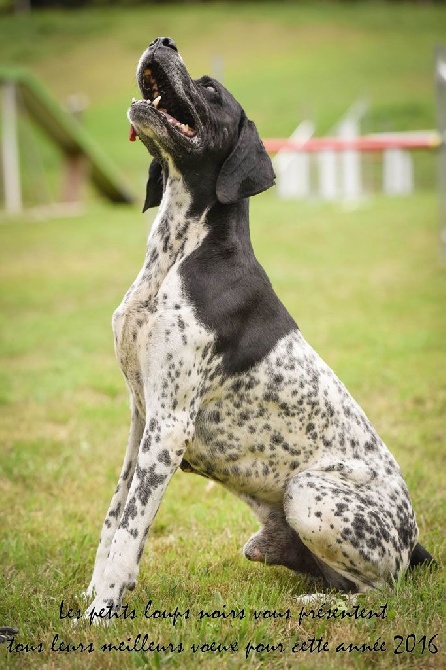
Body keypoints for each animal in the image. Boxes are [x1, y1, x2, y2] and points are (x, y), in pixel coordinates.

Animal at [83, 38, 432, 620]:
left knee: (381, 593)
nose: (162, 41)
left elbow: (130, 532)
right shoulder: (140, 418)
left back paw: (318, 604)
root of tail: (413, 542)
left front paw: (101, 613)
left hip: (307, 494)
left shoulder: (168, 425)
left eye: (210, 89)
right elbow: (114, 521)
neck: (180, 252)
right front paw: (92, 595)